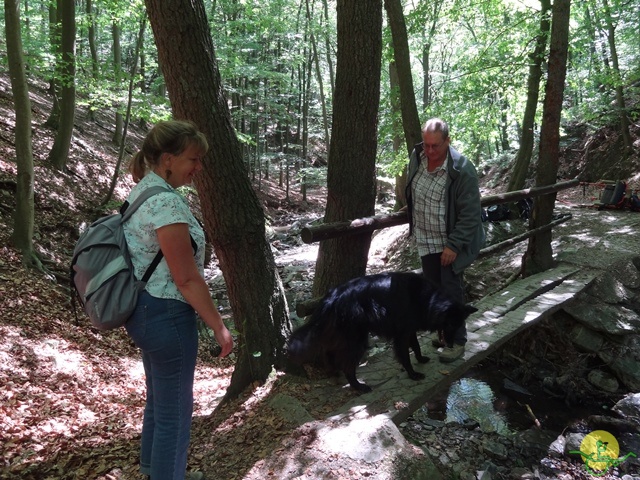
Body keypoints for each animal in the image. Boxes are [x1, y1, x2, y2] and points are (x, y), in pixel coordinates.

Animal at [288, 272, 478, 392]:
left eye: (459, 324)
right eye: (451, 324)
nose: (451, 344)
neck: (426, 299)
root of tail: (332, 297)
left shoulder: (409, 330)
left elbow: (416, 346)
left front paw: (420, 359)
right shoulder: (401, 335)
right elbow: (405, 356)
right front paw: (412, 374)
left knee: (329, 353)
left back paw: (333, 373)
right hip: (358, 341)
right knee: (347, 365)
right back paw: (358, 386)